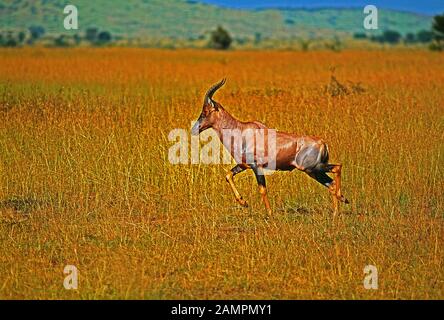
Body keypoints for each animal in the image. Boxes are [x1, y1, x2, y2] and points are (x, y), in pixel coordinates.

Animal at [193, 79, 348, 216]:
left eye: (205, 112)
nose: (195, 129)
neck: (242, 130)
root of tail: (322, 143)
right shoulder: (243, 165)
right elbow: (228, 175)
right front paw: (244, 202)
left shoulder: (256, 166)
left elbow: (262, 189)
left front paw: (269, 213)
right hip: (313, 171)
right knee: (331, 183)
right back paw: (336, 211)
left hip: (312, 167)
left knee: (337, 167)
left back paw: (342, 198)